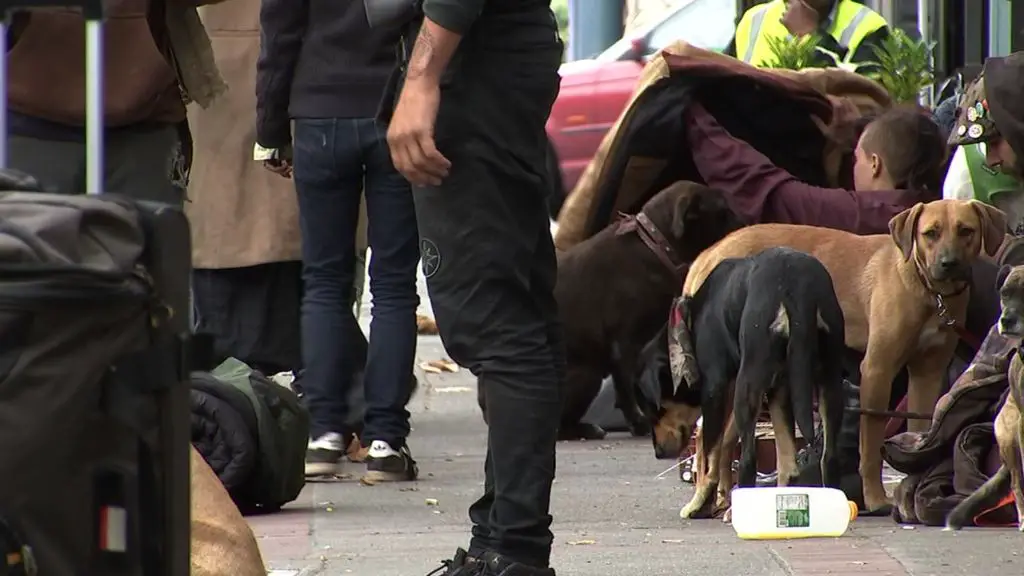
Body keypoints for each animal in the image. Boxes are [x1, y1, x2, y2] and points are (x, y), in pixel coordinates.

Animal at [540, 181, 741, 436]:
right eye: (724, 211)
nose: (748, 225)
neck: (655, 246)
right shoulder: (626, 344)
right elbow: (628, 385)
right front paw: (642, 421)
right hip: (587, 374)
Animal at [655, 247, 847, 516]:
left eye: (659, 406)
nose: (657, 451)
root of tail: (796, 286)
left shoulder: (715, 389)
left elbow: (710, 456)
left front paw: (698, 503)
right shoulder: (778, 390)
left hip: (748, 382)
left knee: (748, 459)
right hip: (829, 383)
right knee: (822, 459)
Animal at [675, 199, 1003, 512]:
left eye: (966, 230)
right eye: (930, 233)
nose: (950, 263)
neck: (925, 288)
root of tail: (712, 250)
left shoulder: (927, 374)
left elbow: (921, 436)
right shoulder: (877, 370)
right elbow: (870, 446)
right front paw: (876, 498)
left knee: (726, 442)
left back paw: (725, 499)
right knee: (708, 443)